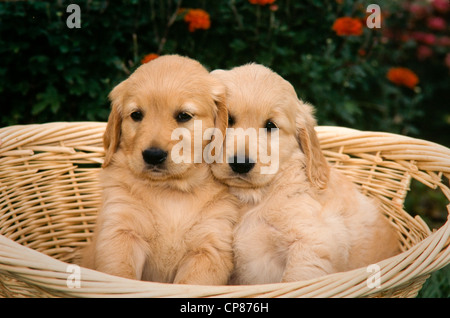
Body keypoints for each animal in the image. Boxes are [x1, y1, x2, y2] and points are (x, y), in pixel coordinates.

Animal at [83, 55, 241, 286]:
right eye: (136, 115)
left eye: (184, 116)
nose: (153, 155)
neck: (170, 191)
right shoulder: (121, 233)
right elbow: (121, 275)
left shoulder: (209, 247)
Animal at [211, 63, 400, 284]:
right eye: (228, 118)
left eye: (270, 126)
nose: (241, 164)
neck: (256, 198)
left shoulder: (313, 243)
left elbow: (294, 279)